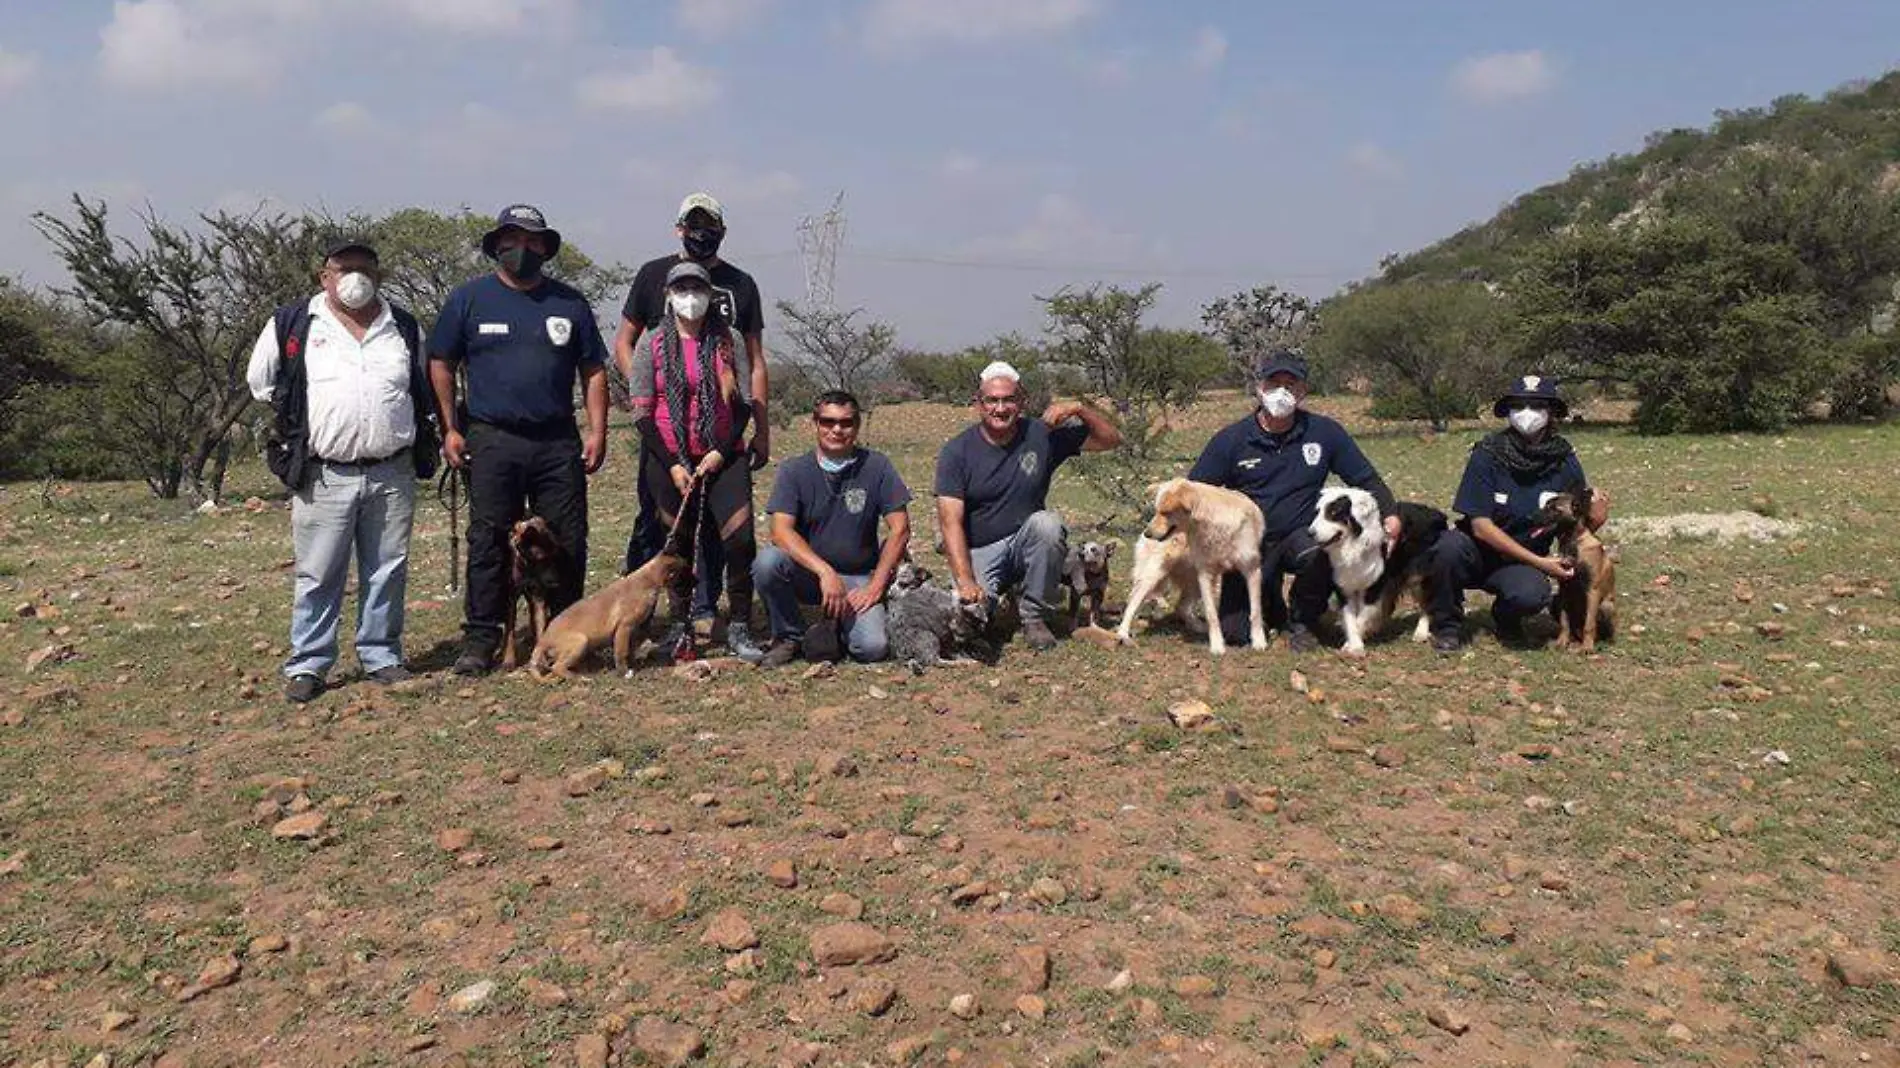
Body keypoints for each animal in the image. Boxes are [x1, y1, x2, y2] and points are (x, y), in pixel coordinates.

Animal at [501, 513, 566, 665]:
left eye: (555, 555)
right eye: (542, 558)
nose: (557, 583)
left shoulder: (538, 597)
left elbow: (541, 626)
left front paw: (540, 656)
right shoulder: (511, 599)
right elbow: (510, 630)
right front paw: (508, 659)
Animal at [528, 473, 706, 672]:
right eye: (684, 574)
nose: (698, 581)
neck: (648, 580)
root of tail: (542, 642)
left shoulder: (633, 629)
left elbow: (631, 648)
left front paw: (634, 663)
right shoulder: (623, 627)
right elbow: (621, 652)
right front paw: (624, 670)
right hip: (580, 641)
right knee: (556, 668)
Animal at [1314, 486, 1444, 653]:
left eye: (1333, 513)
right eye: (1318, 512)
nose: (1310, 532)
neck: (1354, 544)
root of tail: (1433, 511)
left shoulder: (1373, 585)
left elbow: (1363, 616)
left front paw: (1353, 646)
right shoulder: (1346, 586)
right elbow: (1351, 618)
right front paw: (1353, 642)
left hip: (1417, 575)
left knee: (1426, 603)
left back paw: (1420, 632)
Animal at [1527, 482, 1618, 649]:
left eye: (1554, 509)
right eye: (1545, 505)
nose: (1529, 518)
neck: (1572, 541)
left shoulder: (1592, 591)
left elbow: (1589, 623)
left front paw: (1587, 647)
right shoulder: (1564, 589)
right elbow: (1564, 622)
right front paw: (1561, 641)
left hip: (1605, 605)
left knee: (1598, 631)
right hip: (1556, 600)